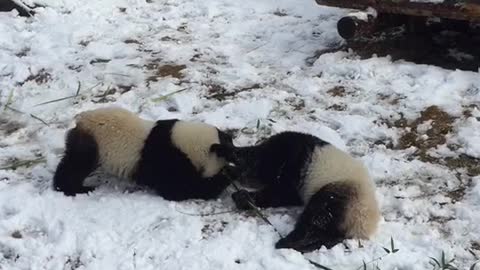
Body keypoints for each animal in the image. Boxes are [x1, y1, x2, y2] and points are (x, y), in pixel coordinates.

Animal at [53, 106, 233, 200]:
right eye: (226, 155)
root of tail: (81, 120)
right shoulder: (166, 158)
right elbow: (181, 188)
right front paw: (226, 177)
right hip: (93, 142)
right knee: (76, 165)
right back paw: (74, 188)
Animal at [212, 131, 380, 253]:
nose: (242, 176)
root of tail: (364, 225)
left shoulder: (294, 166)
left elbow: (279, 192)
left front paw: (243, 195)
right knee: (327, 230)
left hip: (342, 195)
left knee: (317, 217)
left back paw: (289, 242)